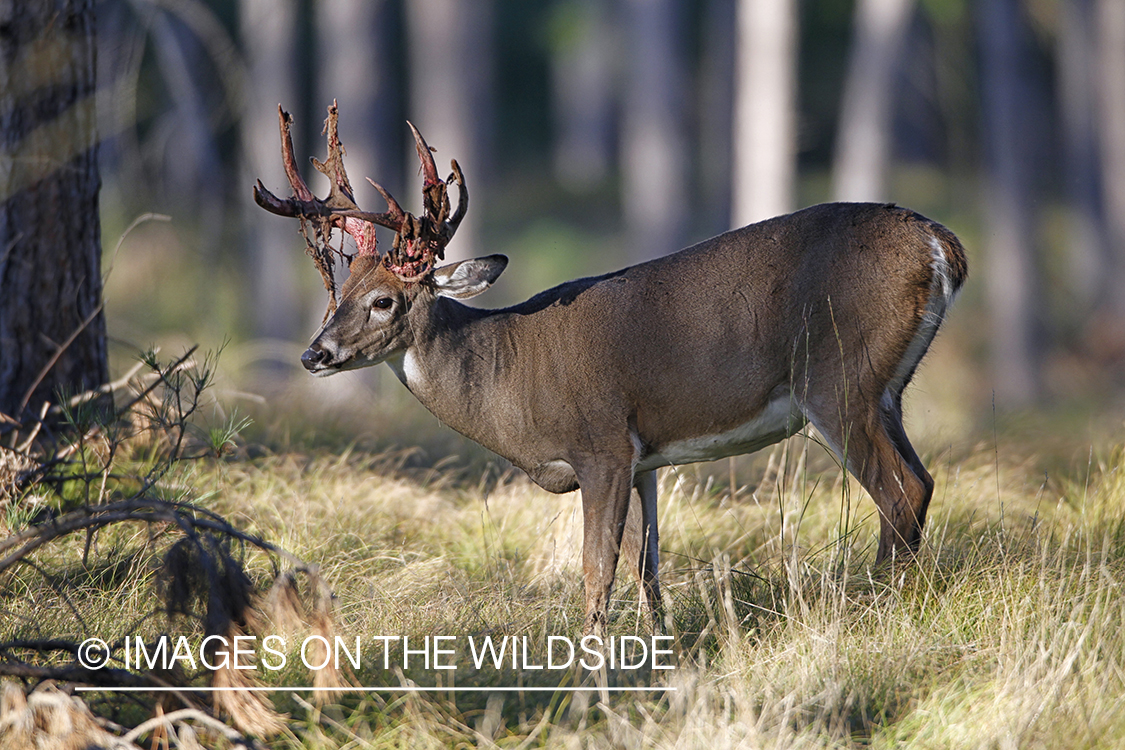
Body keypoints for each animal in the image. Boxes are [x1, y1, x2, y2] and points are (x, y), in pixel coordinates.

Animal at [255, 102, 967, 638]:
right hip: (886, 389)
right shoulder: (646, 457)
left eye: (383, 301)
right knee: (924, 481)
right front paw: (661, 653)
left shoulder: (600, 443)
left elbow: (597, 573)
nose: (314, 354)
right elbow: (649, 570)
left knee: (900, 489)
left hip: (837, 377)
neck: (509, 379)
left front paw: (590, 674)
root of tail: (941, 245)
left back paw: (875, 609)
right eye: (337, 295)